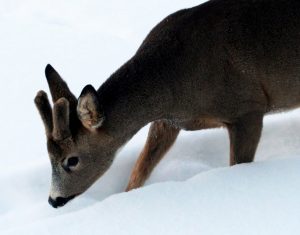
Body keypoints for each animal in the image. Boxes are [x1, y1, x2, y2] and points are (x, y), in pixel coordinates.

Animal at [34, 0, 300, 208]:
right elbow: (138, 172)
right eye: (48, 156)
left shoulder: (247, 108)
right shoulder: (167, 121)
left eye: (72, 160)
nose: (53, 200)